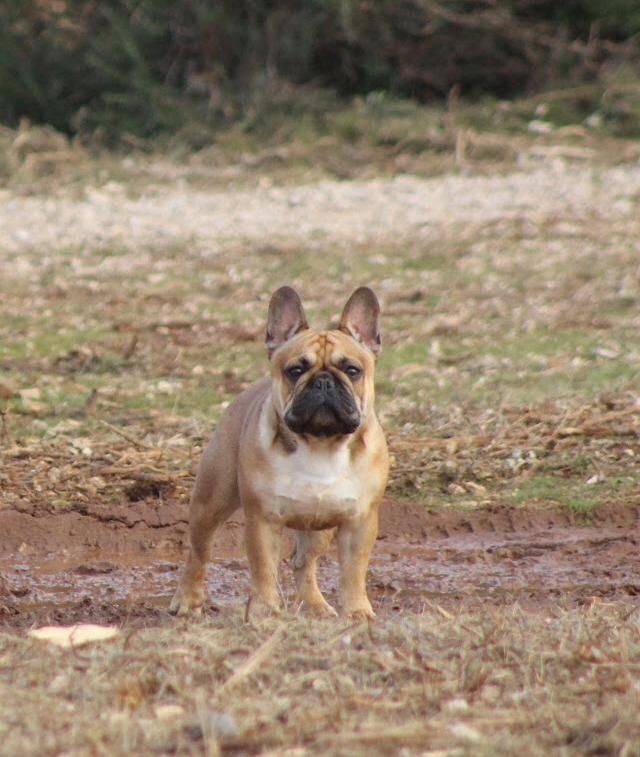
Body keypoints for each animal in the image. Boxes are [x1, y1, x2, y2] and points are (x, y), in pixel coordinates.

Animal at [170, 286, 388, 616]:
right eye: (295, 370)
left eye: (353, 370)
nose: (324, 382)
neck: (319, 443)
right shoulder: (264, 519)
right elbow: (264, 569)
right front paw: (264, 611)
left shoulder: (359, 522)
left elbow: (353, 572)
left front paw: (357, 612)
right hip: (210, 503)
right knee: (198, 553)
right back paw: (187, 599)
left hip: (320, 527)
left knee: (303, 562)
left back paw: (315, 605)